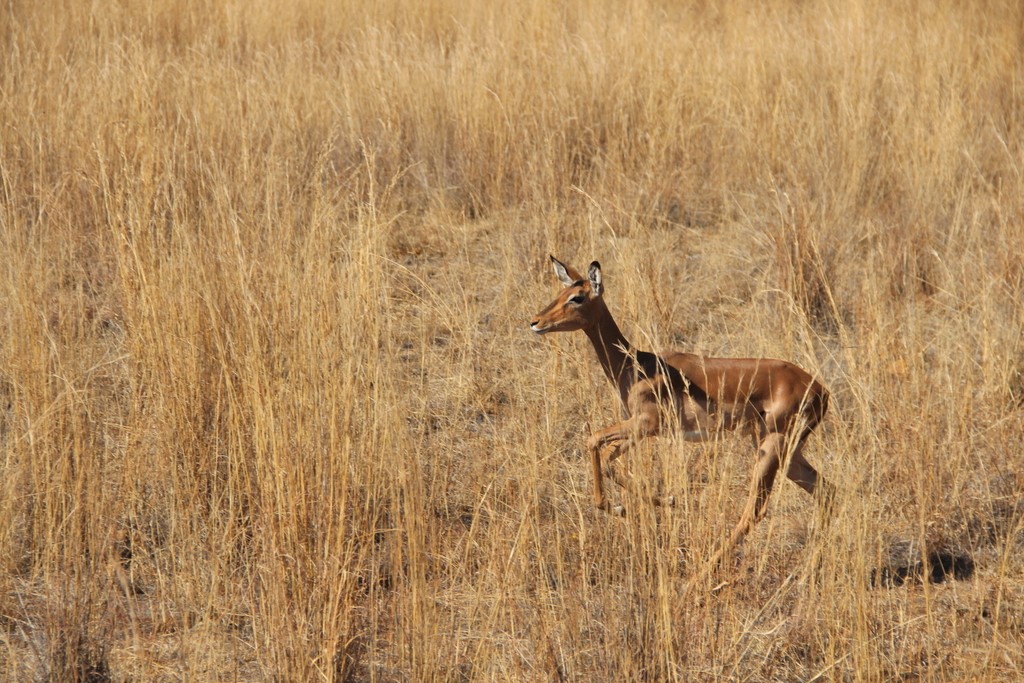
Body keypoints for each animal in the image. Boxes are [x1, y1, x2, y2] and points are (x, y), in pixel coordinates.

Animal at [528, 255, 831, 565]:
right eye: (561, 292)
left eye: (577, 297)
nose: (535, 322)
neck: (636, 366)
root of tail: (820, 390)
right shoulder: (640, 430)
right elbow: (611, 460)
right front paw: (658, 502)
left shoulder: (645, 424)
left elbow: (592, 440)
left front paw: (620, 506)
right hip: (788, 453)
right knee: (826, 491)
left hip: (770, 447)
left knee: (756, 510)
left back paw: (705, 567)